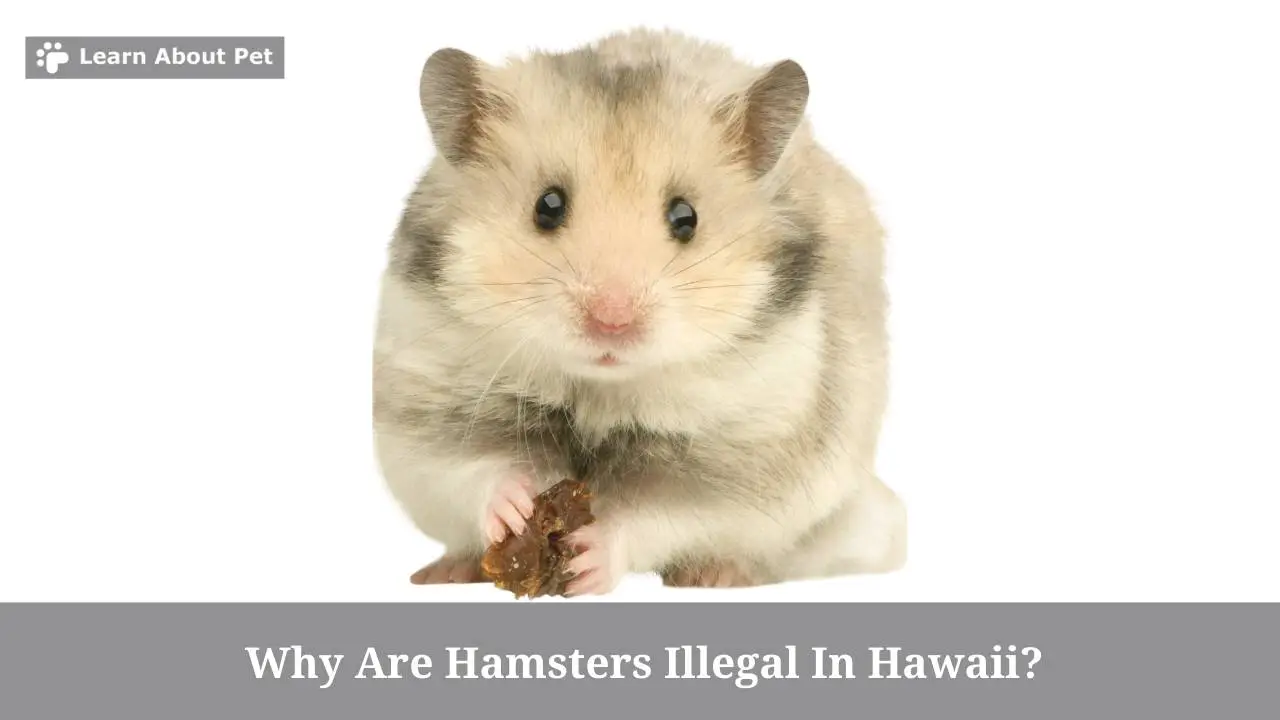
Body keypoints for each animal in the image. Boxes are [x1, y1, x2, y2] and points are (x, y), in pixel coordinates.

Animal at [372, 28, 907, 593]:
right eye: (547, 205)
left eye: (685, 217)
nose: (612, 322)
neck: (600, 387)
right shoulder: (434, 405)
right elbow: (474, 470)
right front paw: (516, 512)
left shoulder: (737, 452)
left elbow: (653, 516)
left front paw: (588, 559)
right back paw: (443, 572)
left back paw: (716, 575)